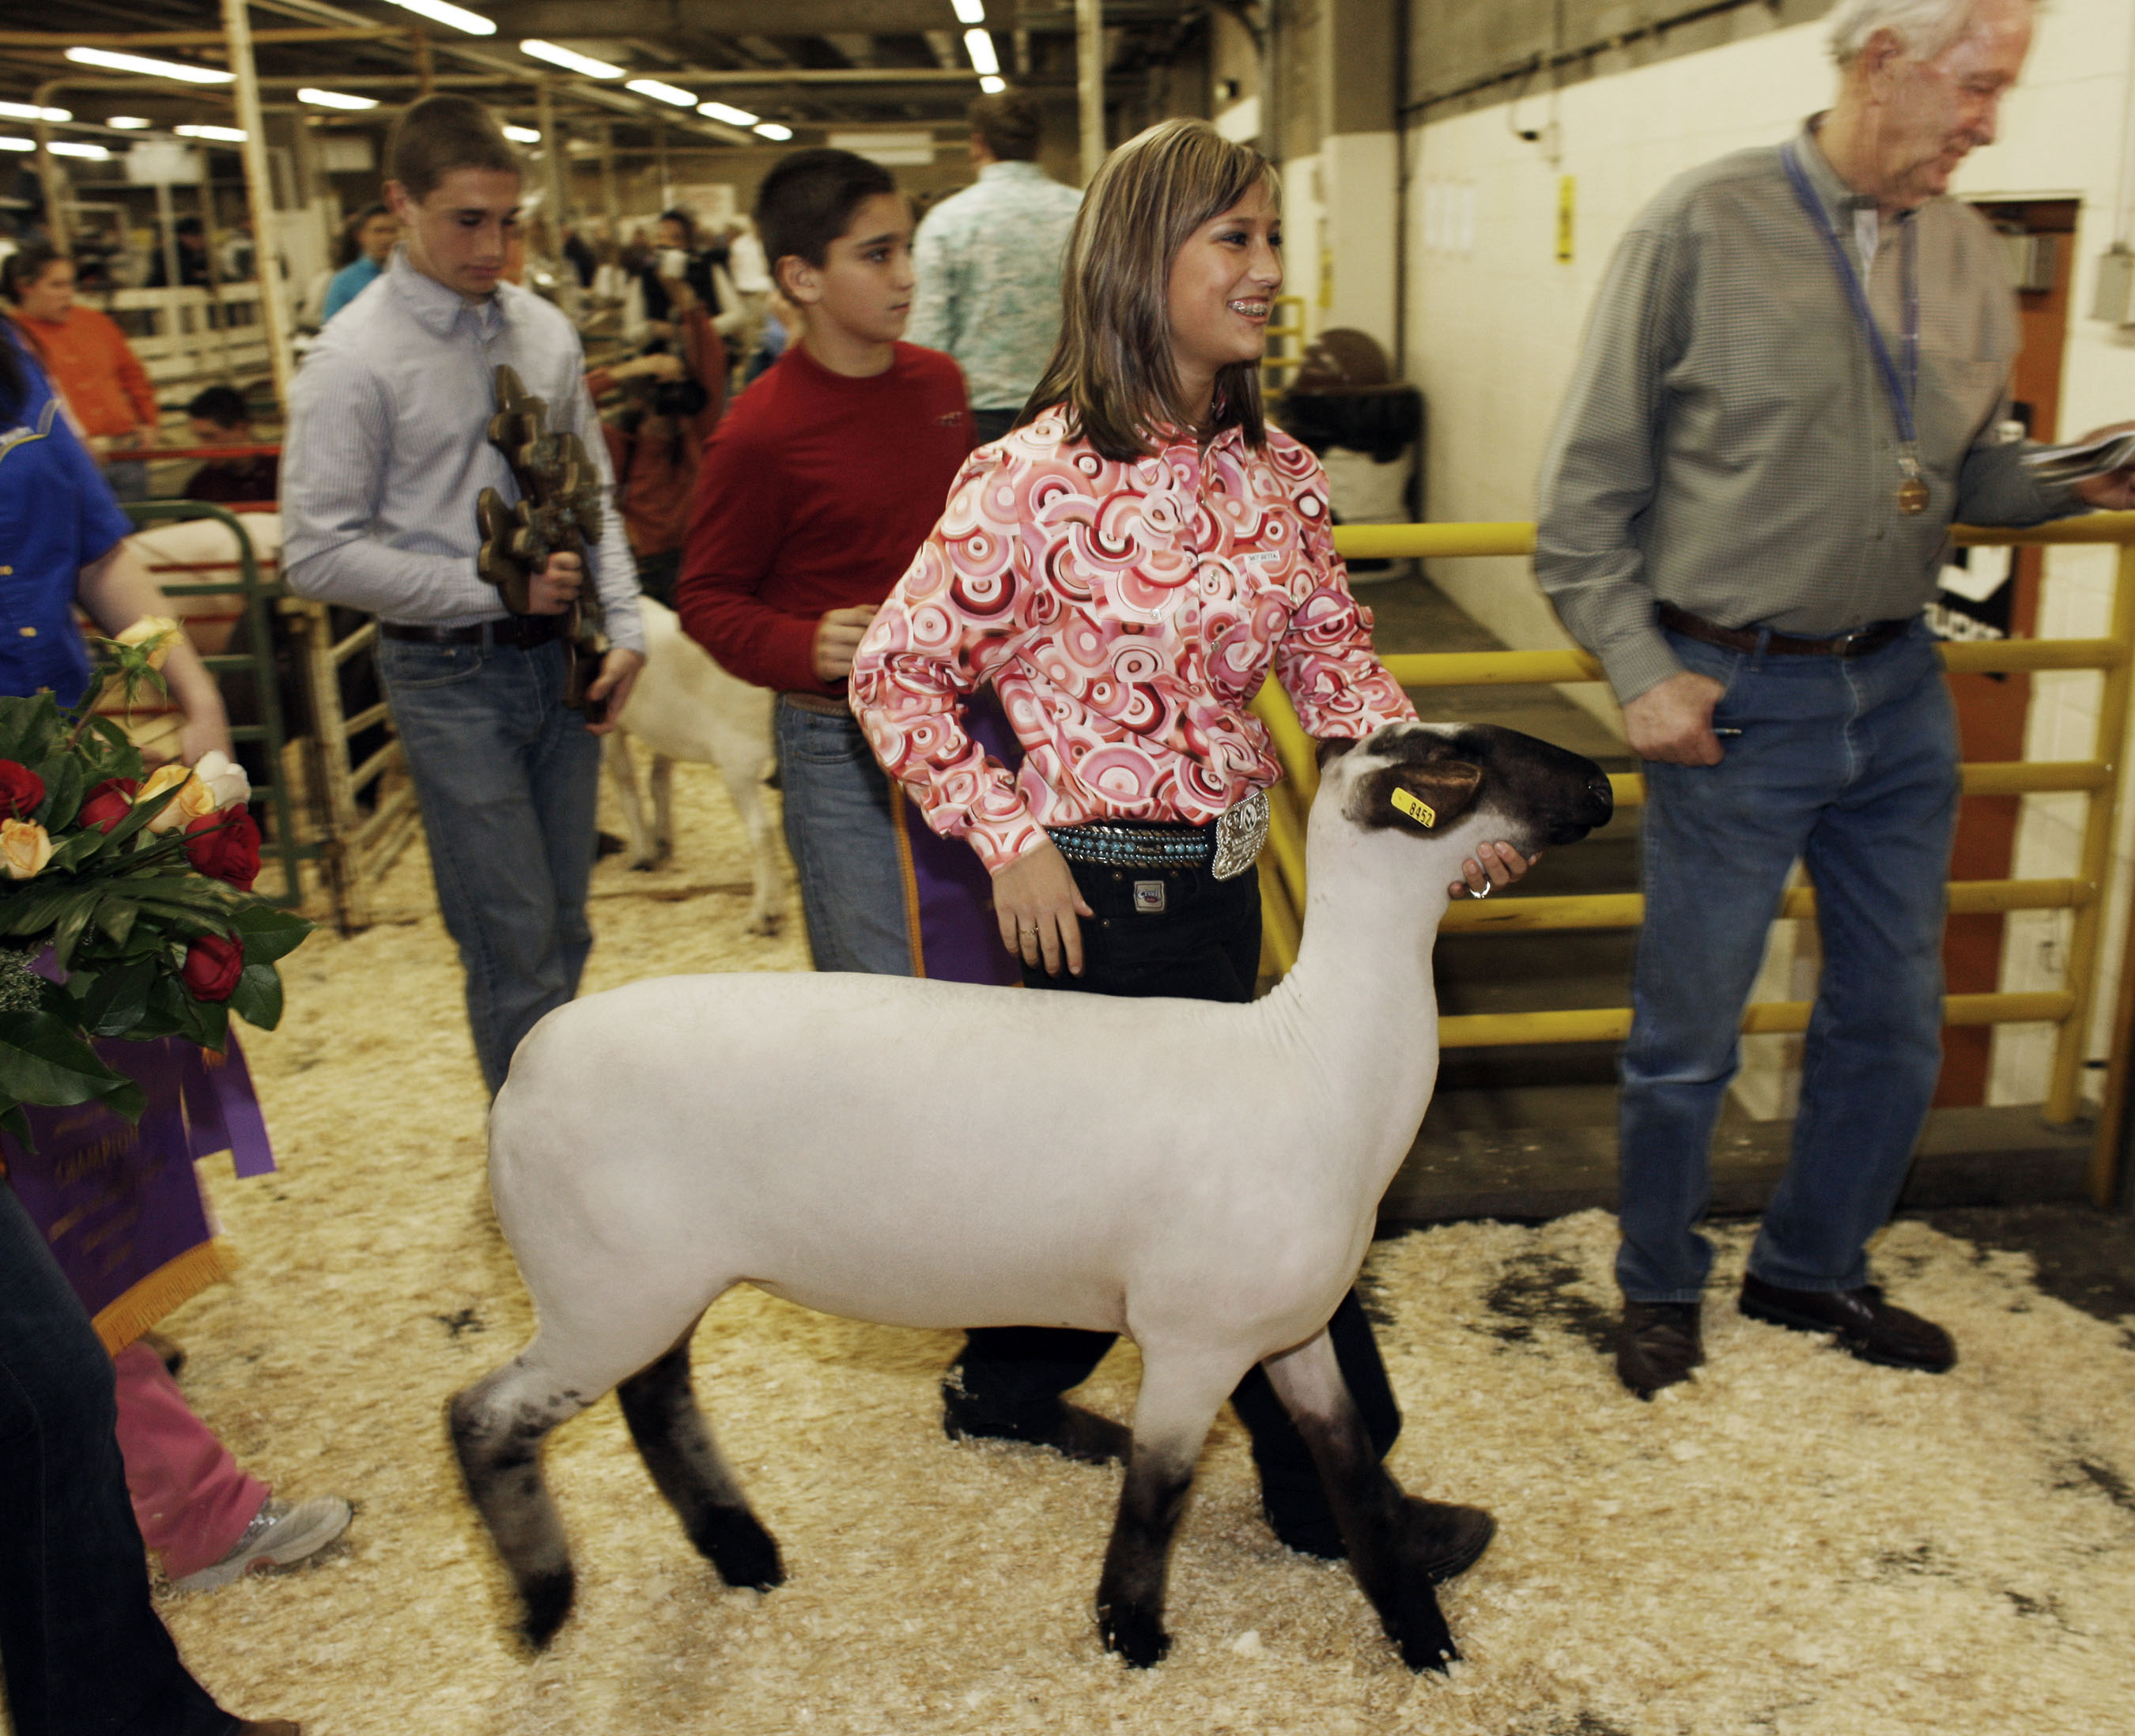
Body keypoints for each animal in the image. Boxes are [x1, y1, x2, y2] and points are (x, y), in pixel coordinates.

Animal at [455, 713, 1614, 1665]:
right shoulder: (1195, 1344)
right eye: (1467, 763)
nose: (1604, 783)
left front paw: (1423, 1636)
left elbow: (1356, 1475)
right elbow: (1158, 1498)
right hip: (600, 1290)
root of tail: (523, 1072)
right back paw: (545, 1606)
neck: (1319, 1060)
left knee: (656, 1404)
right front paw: (1132, 1634)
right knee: (484, 1416)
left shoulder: (1295, 1332)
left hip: (649, 1284)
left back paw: (743, 1555)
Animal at [602, 602, 785, 939]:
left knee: (761, 831)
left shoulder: (611, 726)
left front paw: (642, 854)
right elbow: (655, 782)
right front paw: (659, 843)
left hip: (737, 759)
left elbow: (626, 784)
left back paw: (764, 914)